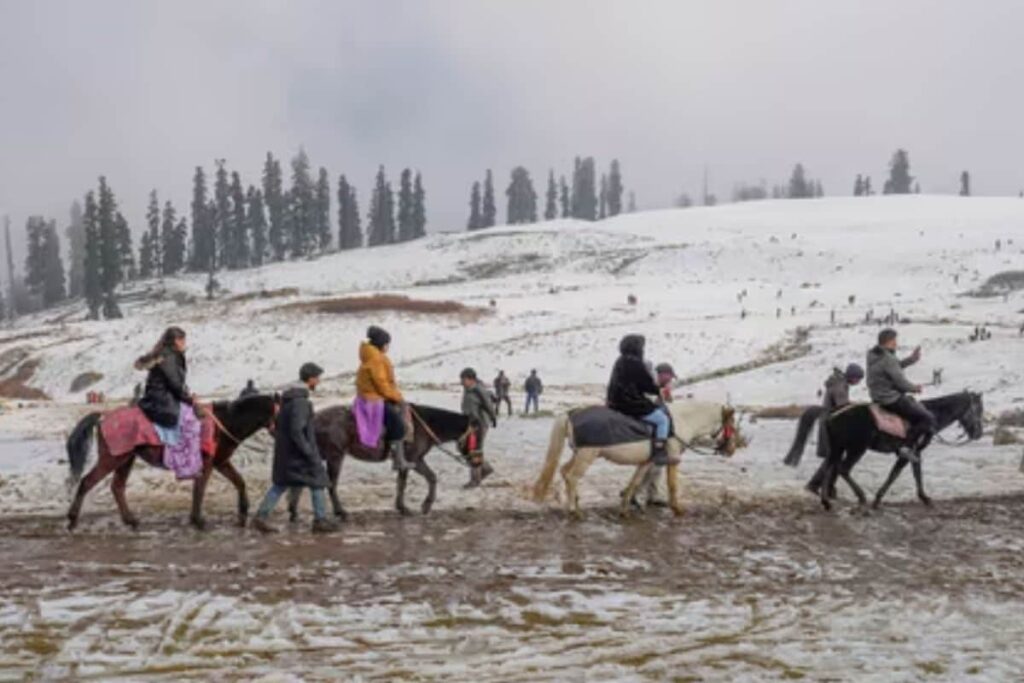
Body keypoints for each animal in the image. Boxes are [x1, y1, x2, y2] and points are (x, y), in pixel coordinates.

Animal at [66, 393, 278, 532]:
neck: (223, 423)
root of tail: (104, 415)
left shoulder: (220, 462)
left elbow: (239, 482)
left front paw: (242, 514)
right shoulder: (208, 464)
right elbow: (200, 489)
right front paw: (198, 520)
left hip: (126, 459)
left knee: (117, 487)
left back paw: (130, 520)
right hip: (112, 458)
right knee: (87, 482)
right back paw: (72, 519)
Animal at [288, 403, 471, 520]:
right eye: (475, 434)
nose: (474, 460)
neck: (423, 425)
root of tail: (312, 421)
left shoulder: (417, 460)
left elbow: (430, 477)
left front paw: (424, 505)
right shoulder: (411, 459)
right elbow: (403, 483)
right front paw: (406, 507)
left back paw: (294, 511)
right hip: (335, 457)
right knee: (331, 485)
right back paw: (340, 512)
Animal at [532, 401, 741, 518]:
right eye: (732, 425)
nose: (732, 448)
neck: (680, 421)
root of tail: (572, 413)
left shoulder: (646, 462)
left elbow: (635, 482)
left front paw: (625, 508)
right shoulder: (672, 458)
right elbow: (672, 485)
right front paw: (677, 510)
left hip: (578, 454)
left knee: (565, 472)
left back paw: (574, 502)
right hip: (586, 456)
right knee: (573, 477)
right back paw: (574, 510)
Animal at [782, 393, 983, 509]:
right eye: (979, 409)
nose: (979, 433)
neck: (931, 414)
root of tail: (833, 412)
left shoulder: (915, 453)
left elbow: (915, 473)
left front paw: (924, 497)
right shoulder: (909, 452)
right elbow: (895, 474)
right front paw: (877, 500)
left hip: (839, 448)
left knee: (830, 467)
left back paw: (826, 501)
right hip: (857, 448)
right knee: (843, 469)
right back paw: (861, 498)